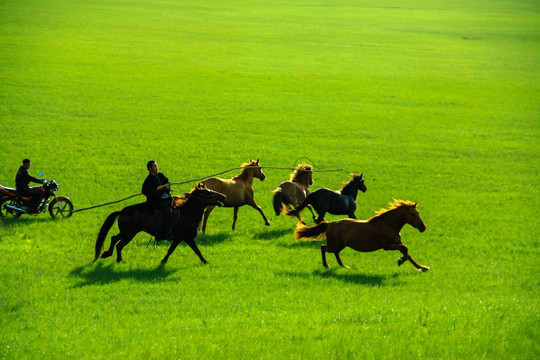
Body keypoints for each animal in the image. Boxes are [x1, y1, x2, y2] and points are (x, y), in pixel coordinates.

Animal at [95, 184, 226, 262]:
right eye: (208, 193)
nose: (223, 197)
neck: (187, 213)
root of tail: (122, 211)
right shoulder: (187, 238)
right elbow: (197, 250)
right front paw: (205, 261)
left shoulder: (178, 238)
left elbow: (171, 249)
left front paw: (163, 260)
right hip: (129, 234)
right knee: (118, 244)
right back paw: (117, 259)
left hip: (126, 233)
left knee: (114, 239)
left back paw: (109, 255)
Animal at [294, 198, 428, 272]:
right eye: (413, 214)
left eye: (418, 212)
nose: (423, 227)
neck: (388, 225)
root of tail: (329, 224)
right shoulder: (387, 245)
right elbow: (405, 249)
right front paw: (400, 261)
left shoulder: (396, 243)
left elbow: (407, 253)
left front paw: (422, 267)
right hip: (335, 244)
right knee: (323, 248)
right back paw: (327, 266)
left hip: (340, 245)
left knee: (334, 252)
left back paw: (344, 266)